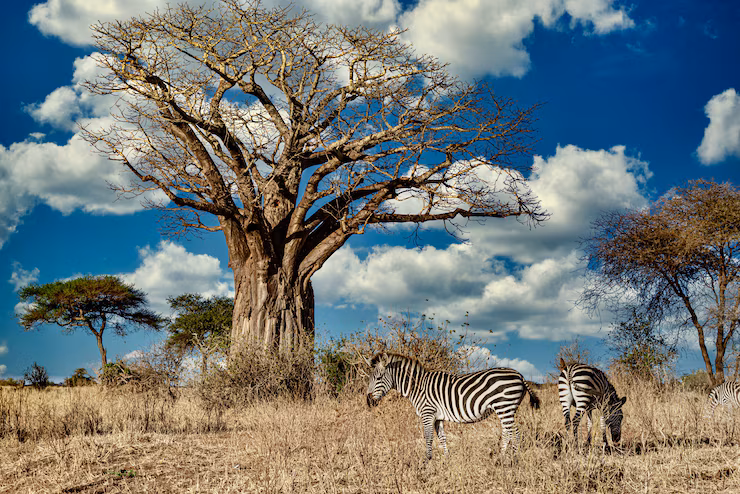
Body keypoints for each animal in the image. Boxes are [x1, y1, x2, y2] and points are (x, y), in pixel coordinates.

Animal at [365, 352, 540, 460]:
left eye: (378, 378)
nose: (369, 401)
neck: (418, 386)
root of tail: (519, 374)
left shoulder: (427, 413)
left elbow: (428, 437)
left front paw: (427, 461)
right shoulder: (437, 417)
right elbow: (442, 437)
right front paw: (446, 458)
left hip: (504, 406)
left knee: (513, 433)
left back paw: (508, 459)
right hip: (507, 409)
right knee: (510, 432)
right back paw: (506, 458)